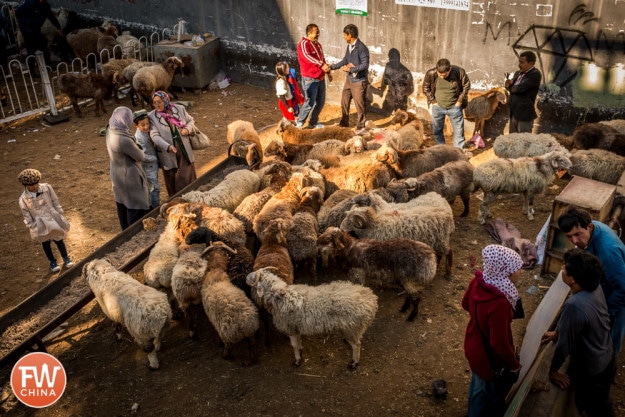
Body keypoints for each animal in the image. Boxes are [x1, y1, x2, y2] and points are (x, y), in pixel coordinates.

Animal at [246, 266, 378, 368]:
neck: (281, 295)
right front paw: (300, 351)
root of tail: (370, 299)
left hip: (352, 328)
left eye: (254, 278)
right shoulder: (296, 327)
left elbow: (294, 345)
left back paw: (354, 363)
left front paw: (297, 360)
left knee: (357, 346)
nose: (246, 277)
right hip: (352, 328)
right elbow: (298, 342)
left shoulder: (290, 328)